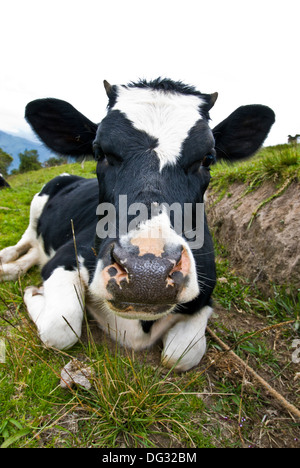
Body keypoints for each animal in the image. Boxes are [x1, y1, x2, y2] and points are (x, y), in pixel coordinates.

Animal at [0, 78, 276, 372]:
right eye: (99, 152)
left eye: (208, 158)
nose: (147, 274)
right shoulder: (65, 257)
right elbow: (59, 328)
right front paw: (34, 294)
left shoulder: (205, 293)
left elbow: (182, 354)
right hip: (38, 202)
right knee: (28, 239)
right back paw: (6, 261)